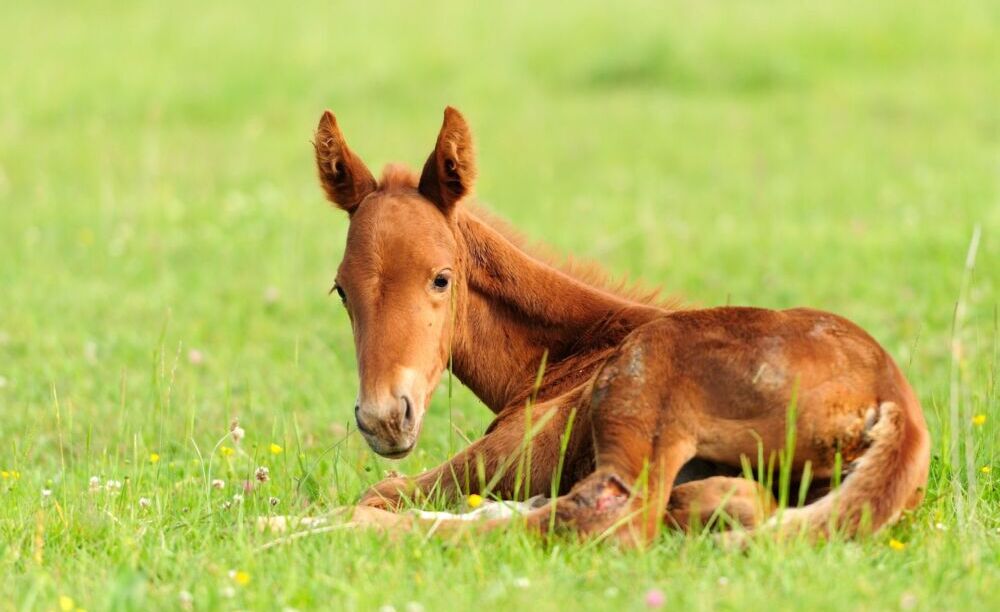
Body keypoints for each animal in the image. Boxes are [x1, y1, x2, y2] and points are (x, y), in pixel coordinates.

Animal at [312, 106, 928, 544]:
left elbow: (381, 488)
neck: (571, 355)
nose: (384, 418)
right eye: (341, 289)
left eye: (441, 278)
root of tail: (894, 401)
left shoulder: (501, 455)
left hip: (639, 406)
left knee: (605, 516)